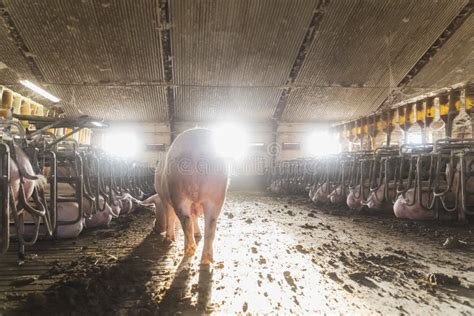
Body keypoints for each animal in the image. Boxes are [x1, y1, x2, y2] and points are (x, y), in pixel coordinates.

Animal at [155, 128, 229, 264]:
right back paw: (206, 259)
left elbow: (170, 217)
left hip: (178, 193)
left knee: (185, 220)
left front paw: (168, 239)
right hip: (216, 195)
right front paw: (198, 234)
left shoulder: (165, 200)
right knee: (210, 226)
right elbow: (194, 217)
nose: (156, 229)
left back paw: (189, 251)